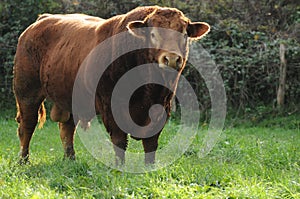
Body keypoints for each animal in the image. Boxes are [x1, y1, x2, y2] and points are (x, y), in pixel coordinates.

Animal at [13, 6, 209, 165]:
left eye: (184, 34)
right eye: (153, 34)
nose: (172, 59)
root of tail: (42, 19)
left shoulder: (162, 107)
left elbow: (151, 142)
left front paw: (149, 167)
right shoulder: (111, 105)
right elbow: (119, 140)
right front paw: (119, 167)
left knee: (67, 128)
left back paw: (70, 159)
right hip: (27, 91)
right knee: (27, 125)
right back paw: (23, 160)